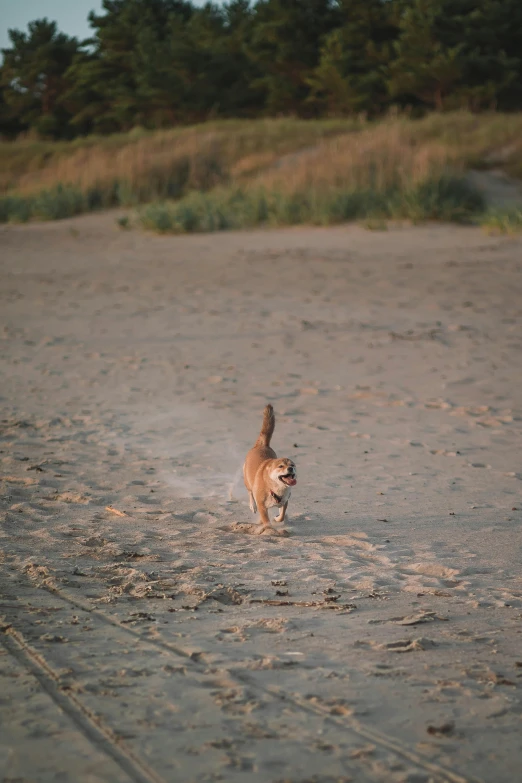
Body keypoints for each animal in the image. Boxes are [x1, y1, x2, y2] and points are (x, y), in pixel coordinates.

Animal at [242, 408, 294, 536]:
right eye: (281, 466)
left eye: (292, 465)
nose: (290, 469)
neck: (276, 488)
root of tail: (262, 444)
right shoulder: (262, 506)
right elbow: (266, 520)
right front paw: (268, 529)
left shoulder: (285, 501)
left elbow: (282, 515)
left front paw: (276, 518)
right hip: (247, 480)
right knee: (250, 492)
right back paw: (252, 506)